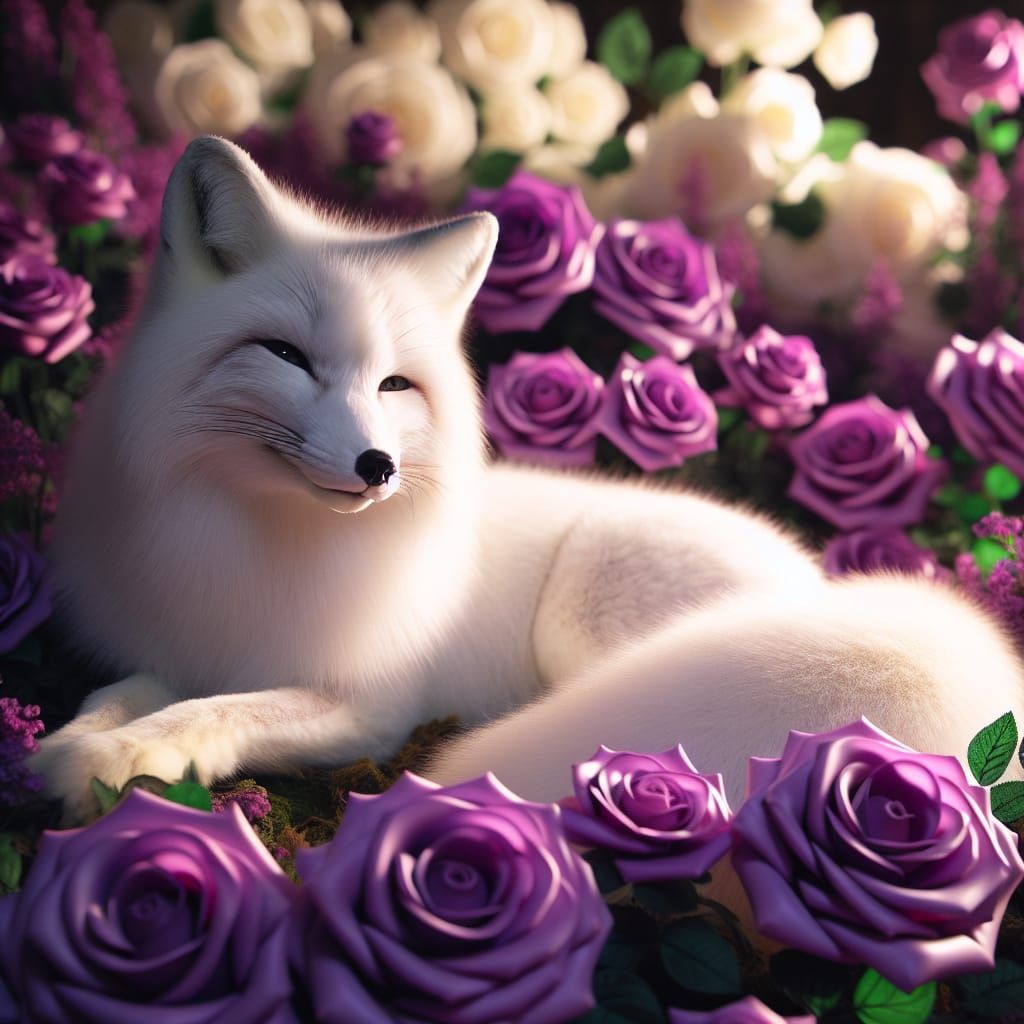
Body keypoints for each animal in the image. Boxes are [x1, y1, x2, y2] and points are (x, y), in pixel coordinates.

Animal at [34, 135, 1024, 823]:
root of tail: (825, 589)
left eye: (394, 385)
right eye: (285, 356)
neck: (257, 540)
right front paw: (72, 743)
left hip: (588, 622)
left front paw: (117, 761)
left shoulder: (366, 707)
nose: (376, 465)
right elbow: (124, 694)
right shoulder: (173, 648)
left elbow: (211, 714)